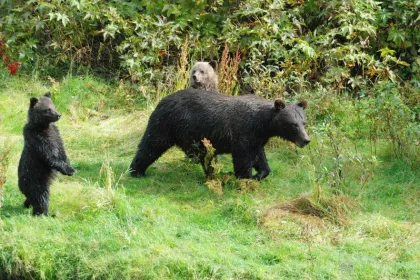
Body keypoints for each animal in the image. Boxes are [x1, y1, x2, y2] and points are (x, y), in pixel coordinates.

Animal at [130, 88, 310, 180]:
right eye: (293, 125)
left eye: (304, 122)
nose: (306, 140)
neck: (263, 125)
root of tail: (162, 100)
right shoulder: (243, 133)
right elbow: (243, 159)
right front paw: (245, 177)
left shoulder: (256, 138)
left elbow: (260, 157)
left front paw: (260, 173)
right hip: (166, 125)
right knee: (151, 145)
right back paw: (136, 171)